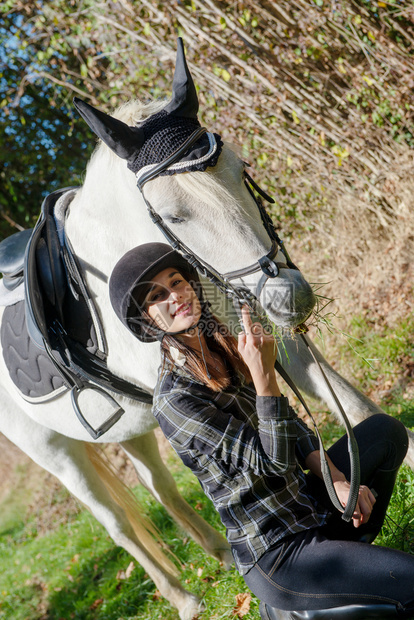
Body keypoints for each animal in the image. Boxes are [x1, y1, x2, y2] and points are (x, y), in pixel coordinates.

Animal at [0, 41, 410, 616]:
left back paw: (216, 554)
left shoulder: (270, 332)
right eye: (174, 215)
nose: (289, 295)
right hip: (55, 453)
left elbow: (346, 403)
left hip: (133, 427)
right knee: (117, 524)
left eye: (241, 170)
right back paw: (184, 597)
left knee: (159, 486)